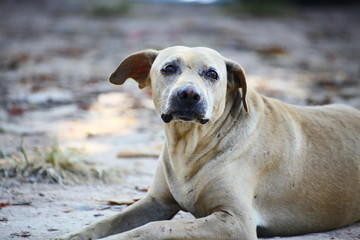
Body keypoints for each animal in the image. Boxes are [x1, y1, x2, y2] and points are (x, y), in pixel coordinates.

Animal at [56, 46, 360, 240]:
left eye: (213, 74)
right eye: (169, 68)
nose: (189, 94)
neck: (191, 145)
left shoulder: (236, 222)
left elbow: (154, 229)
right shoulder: (156, 202)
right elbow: (105, 222)